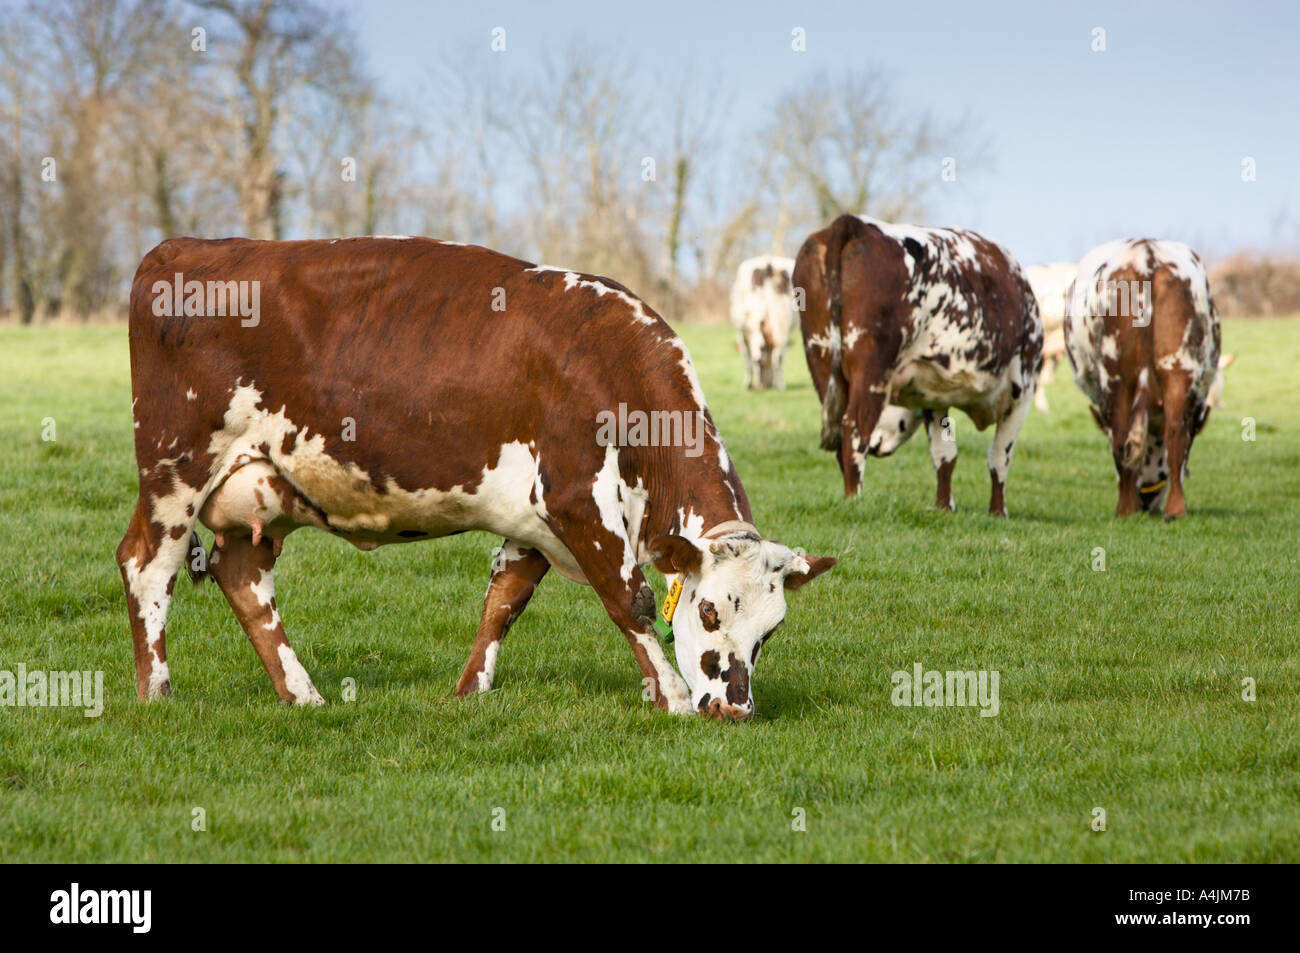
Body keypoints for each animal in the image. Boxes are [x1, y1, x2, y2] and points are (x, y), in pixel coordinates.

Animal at [728, 256, 795, 390]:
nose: (766, 385)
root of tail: (768, 265)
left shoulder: (740, 332)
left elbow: (748, 359)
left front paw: (749, 384)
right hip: (781, 323)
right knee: (777, 355)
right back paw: (780, 385)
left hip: (757, 323)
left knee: (758, 356)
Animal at [795, 213, 1040, 512]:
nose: (877, 446)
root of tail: (854, 224)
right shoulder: (1022, 391)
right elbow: (999, 458)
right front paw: (997, 513)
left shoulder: (934, 397)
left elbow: (945, 456)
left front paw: (944, 508)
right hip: (872, 372)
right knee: (854, 431)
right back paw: (855, 500)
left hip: (822, 364)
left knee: (841, 438)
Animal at [1060, 237, 1222, 520]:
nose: (1147, 499)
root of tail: (1145, 253)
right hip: (1179, 367)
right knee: (1175, 433)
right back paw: (1174, 509)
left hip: (1115, 377)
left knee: (1122, 436)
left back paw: (1125, 509)